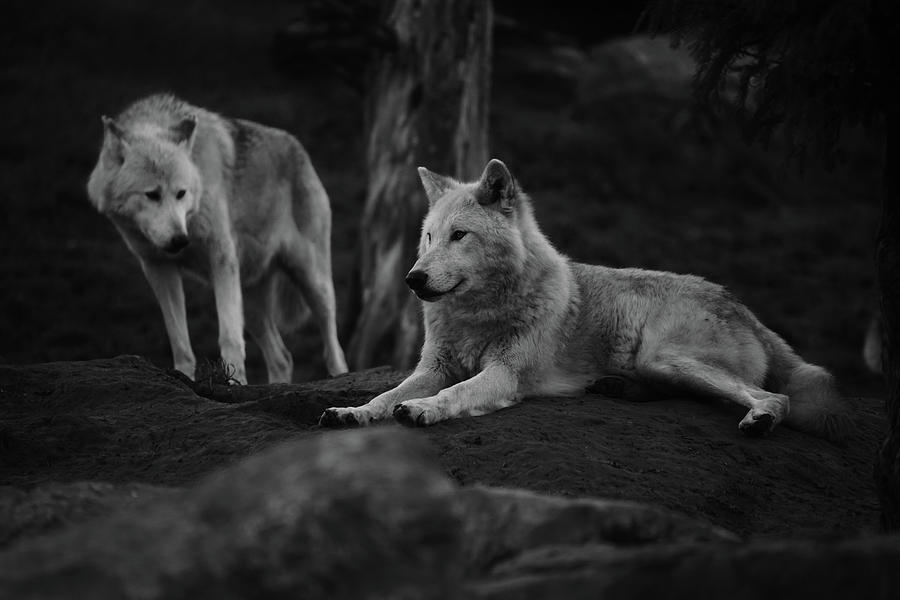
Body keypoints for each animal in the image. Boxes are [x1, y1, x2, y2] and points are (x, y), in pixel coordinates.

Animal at [87, 94, 348, 384]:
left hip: (312, 282)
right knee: (283, 357)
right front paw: (183, 377)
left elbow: (229, 337)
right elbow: (179, 341)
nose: (180, 241)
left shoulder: (221, 257)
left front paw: (236, 384)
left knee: (334, 348)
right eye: (152, 194)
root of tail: (299, 148)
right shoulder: (158, 268)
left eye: (181, 193)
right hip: (253, 304)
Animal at [322, 159, 852, 440]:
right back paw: (616, 388)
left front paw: (424, 410)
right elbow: (387, 394)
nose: (413, 279)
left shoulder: (506, 374)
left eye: (460, 236)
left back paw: (760, 418)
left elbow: (453, 394)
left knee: (774, 396)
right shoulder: (432, 366)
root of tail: (745, 308)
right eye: (429, 237)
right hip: (664, 365)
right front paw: (355, 412)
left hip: (667, 357)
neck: (480, 315)